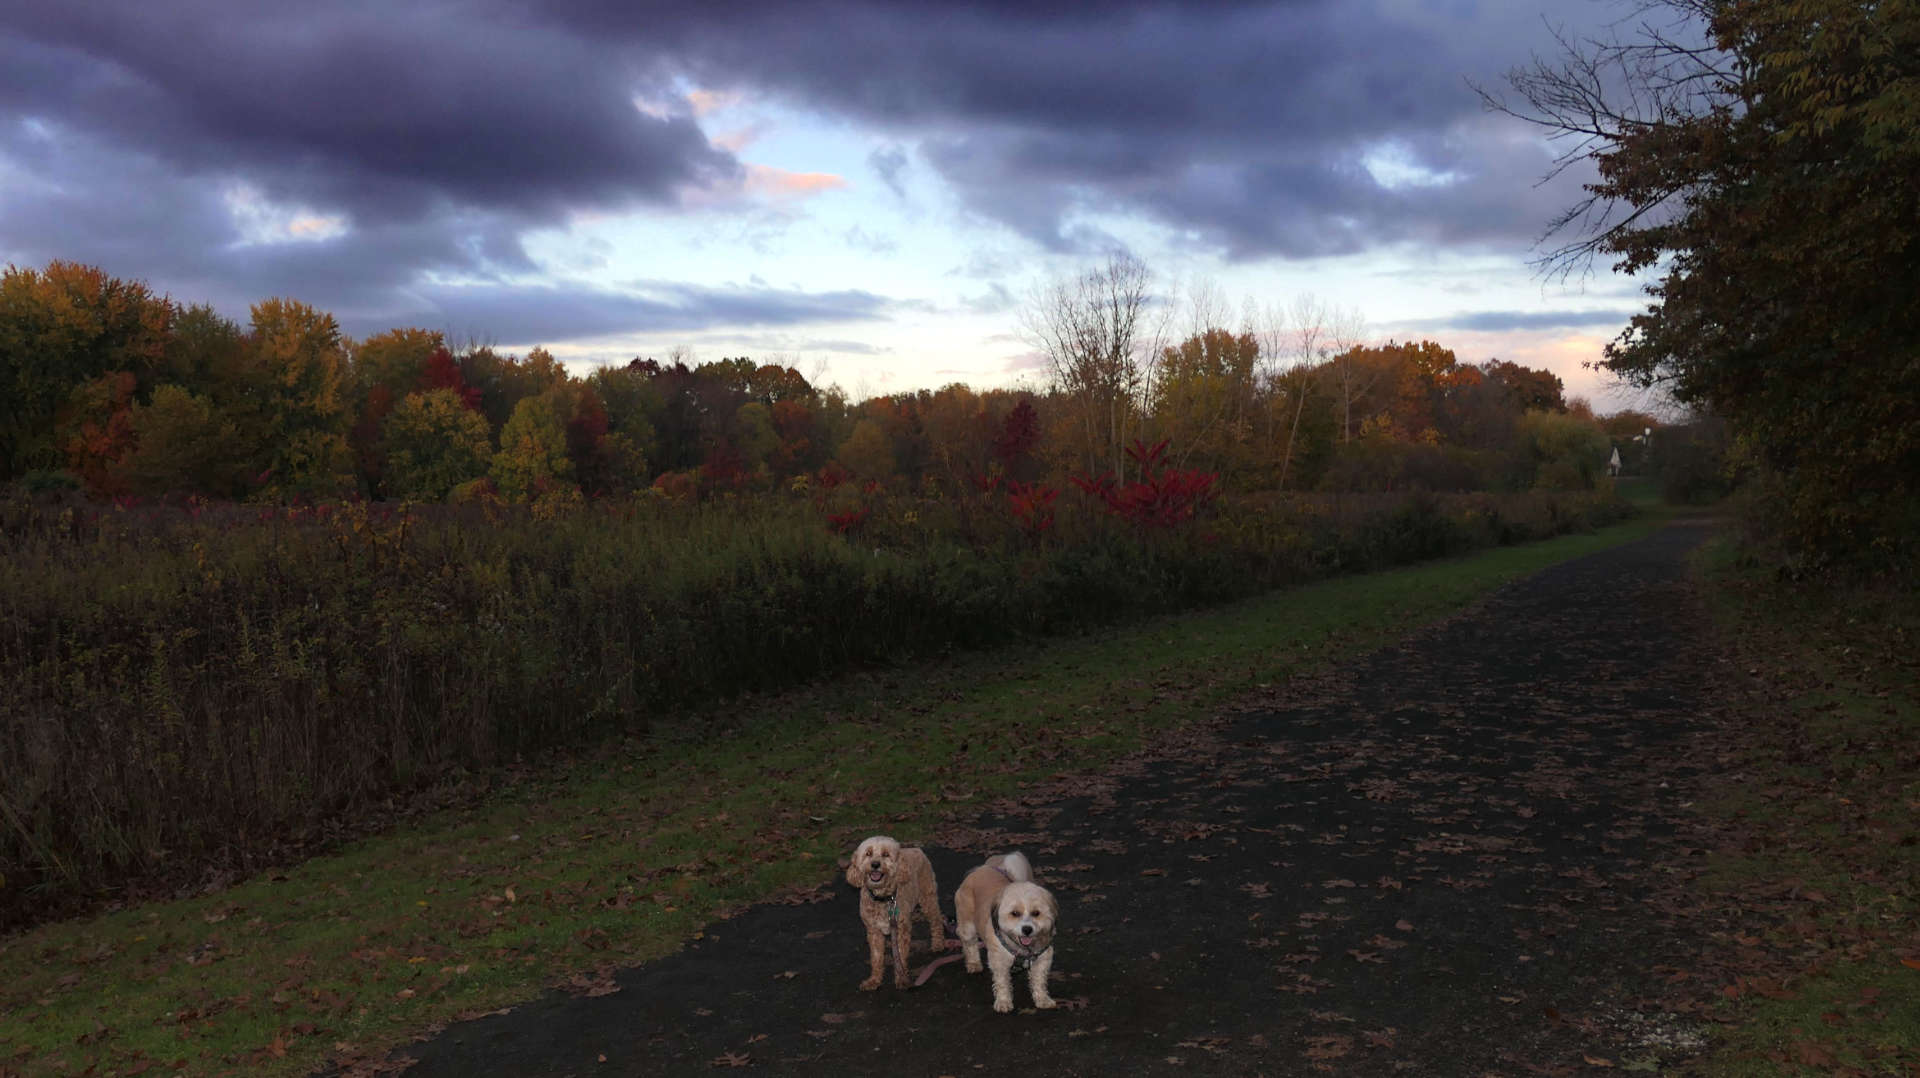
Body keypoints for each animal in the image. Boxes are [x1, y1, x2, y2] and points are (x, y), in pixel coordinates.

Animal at [848, 833, 944, 991]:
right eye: (868, 853)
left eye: (886, 854)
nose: (875, 864)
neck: (884, 898)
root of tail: (916, 849)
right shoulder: (874, 931)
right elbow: (876, 958)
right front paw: (874, 980)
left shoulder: (900, 930)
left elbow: (900, 954)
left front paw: (901, 978)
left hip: (928, 898)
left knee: (936, 920)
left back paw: (938, 943)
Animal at [952, 849, 1059, 1006]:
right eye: (1015, 913)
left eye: (1036, 913)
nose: (1027, 929)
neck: (1021, 949)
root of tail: (982, 868)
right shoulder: (999, 961)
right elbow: (1002, 983)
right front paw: (1003, 1002)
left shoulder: (1042, 959)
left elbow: (1039, 981)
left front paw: (1043, 999)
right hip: (968, 927)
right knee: (970, 944)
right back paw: (973, 963)